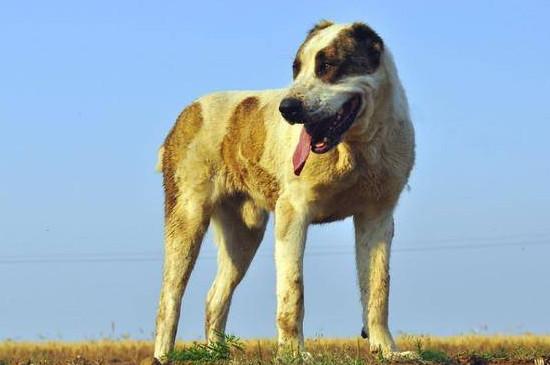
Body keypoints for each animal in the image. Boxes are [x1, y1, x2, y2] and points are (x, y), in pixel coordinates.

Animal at [149, 19, 416, 362]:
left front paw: (386, 350)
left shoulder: (378, 216)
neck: (355, 148)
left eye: (327, 66)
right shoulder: (294, 214)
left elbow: (378, 288)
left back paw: (217, 354)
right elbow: (293, 290)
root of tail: (186, 114)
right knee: (169, 298)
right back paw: (162, 356)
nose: (287, 108)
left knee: (215, 295)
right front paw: (293, 354)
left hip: (244, 235)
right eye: (296, 69)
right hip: (187, 219)